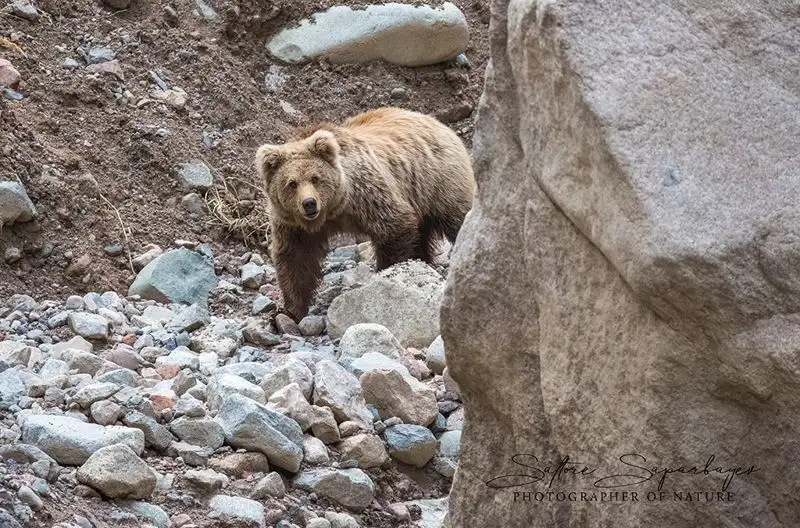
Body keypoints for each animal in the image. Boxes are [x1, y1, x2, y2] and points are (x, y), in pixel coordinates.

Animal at [255, 108, 476, 320]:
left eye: (315, 178)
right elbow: (295, 258)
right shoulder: (293, 224)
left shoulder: (366, 195)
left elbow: (395, 226)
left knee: (457, 217)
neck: (332, 212)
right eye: (291, 183)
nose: (309, 203)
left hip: (438, 180)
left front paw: (384, 274)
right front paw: (289, 311)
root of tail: (437, 122)